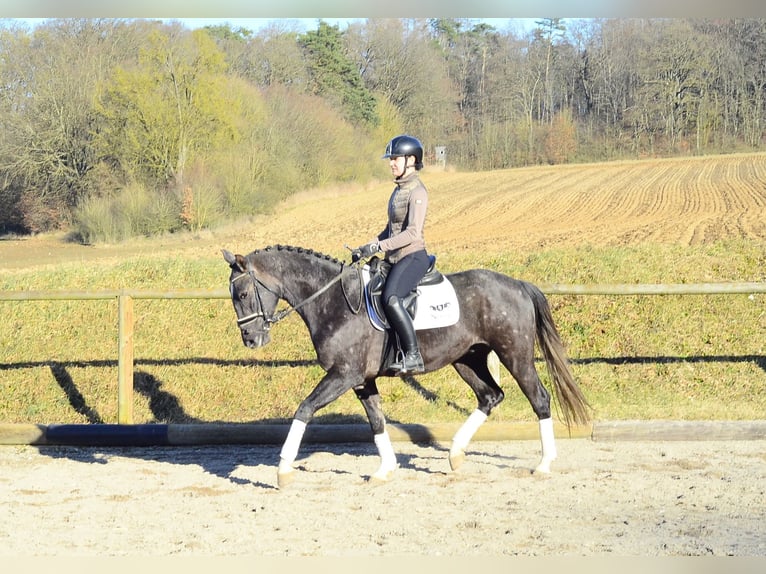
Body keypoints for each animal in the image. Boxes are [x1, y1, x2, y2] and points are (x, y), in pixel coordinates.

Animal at [222, 245, 592, 488]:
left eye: (243, 294)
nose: (251, 340)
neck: (333, 302)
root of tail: (518, 284)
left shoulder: (344, 374)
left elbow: (304, 409)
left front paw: (283, 470)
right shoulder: (362, 379)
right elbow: (376, 421)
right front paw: (385, 469)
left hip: (514, 354)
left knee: (539, 399)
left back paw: (543, 464)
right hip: (467, 358)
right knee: (490, 396)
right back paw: (455, 454)